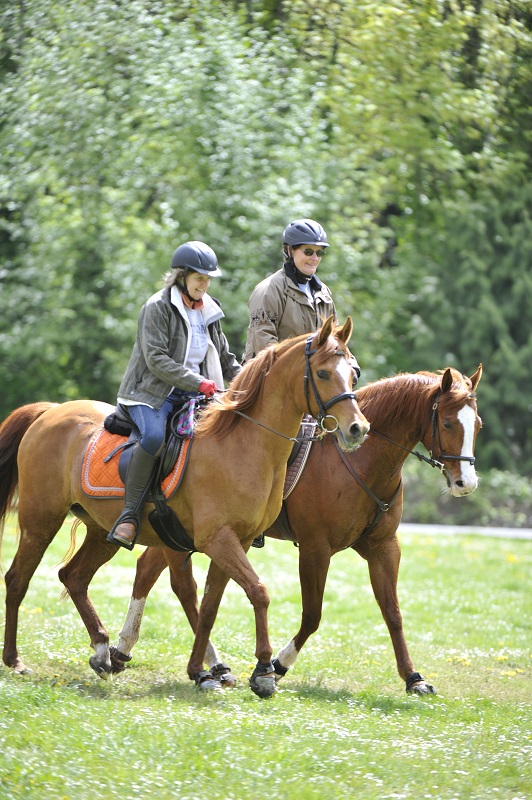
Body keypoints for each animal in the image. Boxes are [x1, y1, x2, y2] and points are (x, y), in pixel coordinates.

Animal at [0, 316, 370, 698]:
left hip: (103, 533)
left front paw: (203, 670)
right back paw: (15, 659)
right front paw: (263, 672)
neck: (244, 445)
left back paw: (103, 651)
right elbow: (258, 592)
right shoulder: (218, 540)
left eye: (353, 375)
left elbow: (209, 605)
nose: (358, 428)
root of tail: (49, 410)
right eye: (323, 373)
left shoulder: (233, 542)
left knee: (74, 577)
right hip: (40, 520)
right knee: (17, 579)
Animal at [110, 365, 482, 694]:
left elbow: (393, 613)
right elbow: (313, 615)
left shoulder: (384, 547)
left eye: (476, 424)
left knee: (149, 570)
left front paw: (413, 678)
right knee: (172, 582)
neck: (357, 461)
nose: (466, 483)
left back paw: (128, 650)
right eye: (447, 422)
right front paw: (276, 665)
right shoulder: (316, 549)